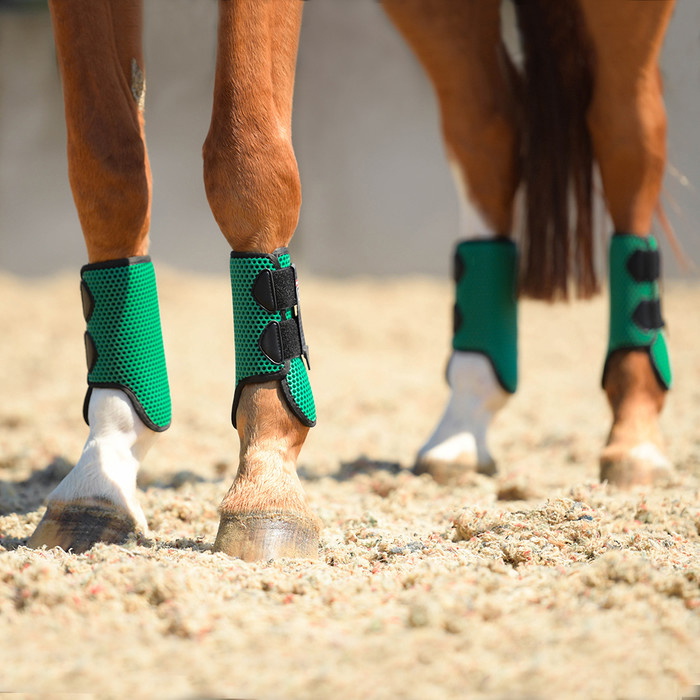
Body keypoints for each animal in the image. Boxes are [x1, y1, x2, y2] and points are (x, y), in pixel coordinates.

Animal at [28, 0, 676, 560]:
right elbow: (107, 167)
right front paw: (102, 469)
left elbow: (246, 158)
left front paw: (267, 485)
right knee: (487, 127)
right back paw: (465, 421)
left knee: (628, 131)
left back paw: (636, 433)